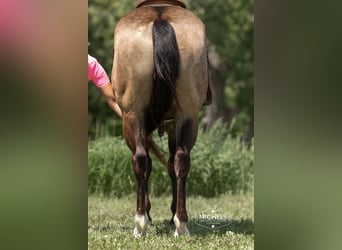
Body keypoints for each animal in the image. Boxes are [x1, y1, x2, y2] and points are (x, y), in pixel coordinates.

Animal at [111, 0, 210, 237]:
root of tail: (160, 18)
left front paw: (148, 212)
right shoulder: (174, 123)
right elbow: (171, 164)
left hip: (132, 115)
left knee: (140, 159)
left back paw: (141, 222)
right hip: (187, 115)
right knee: (181, 158)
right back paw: (181, 223)